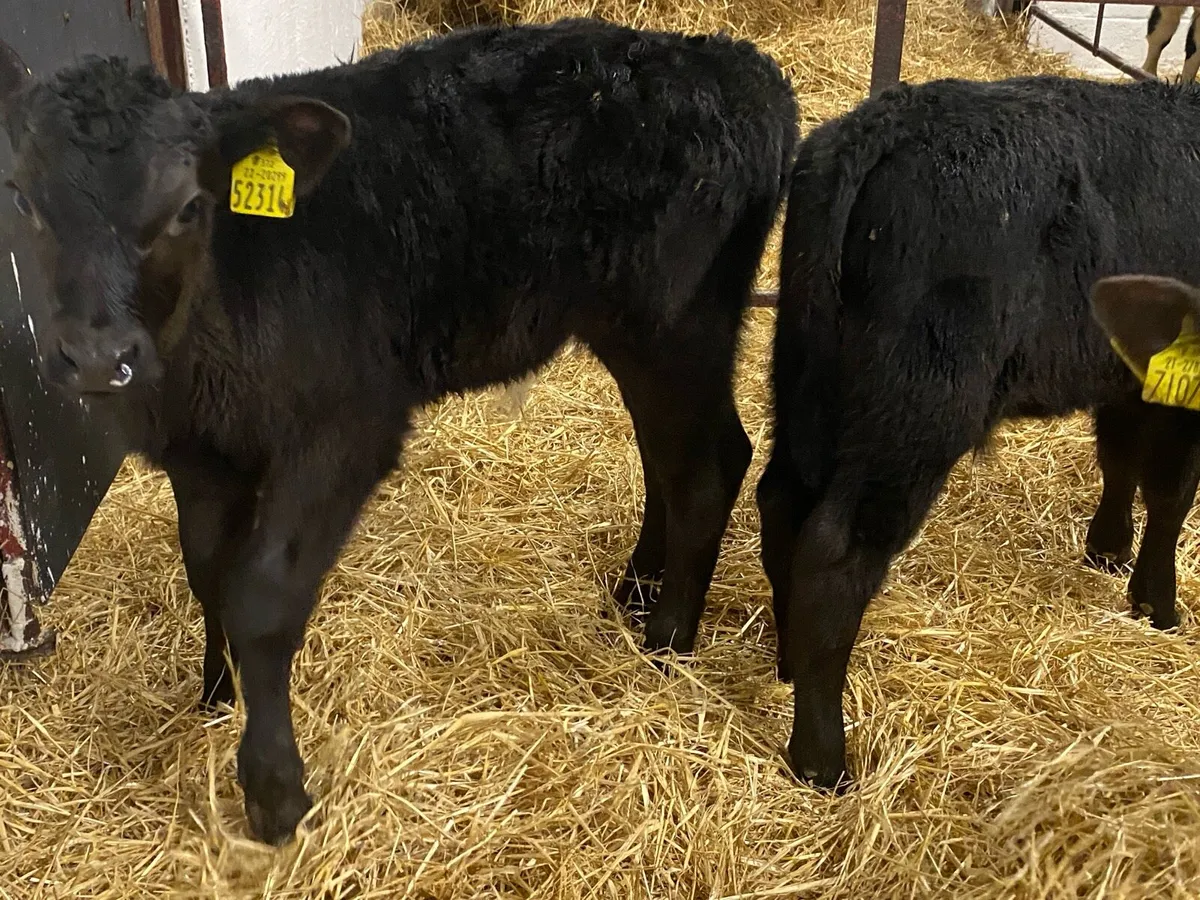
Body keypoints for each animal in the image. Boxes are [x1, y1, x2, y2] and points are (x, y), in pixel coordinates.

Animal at [0, 19, 798, 843]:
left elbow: (263, 597)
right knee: (662, 455)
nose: (98, 356)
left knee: (709, 465)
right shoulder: (199, 456)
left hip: (678, 325)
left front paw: (274, 791)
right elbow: (208, 573)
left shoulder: (344, 431)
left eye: (189, 205)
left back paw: (666, 644)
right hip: (629, 331)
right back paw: (636, 588)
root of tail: (734, 62)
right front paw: (217, 695)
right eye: (21, 196)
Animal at [756, 75, 1200, 791]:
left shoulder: (1129, 377)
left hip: (806, 375)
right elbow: (1171, 493)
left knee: (782, 505)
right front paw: (1158, 604)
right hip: (917, 405)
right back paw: (823, 757)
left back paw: (790, 663)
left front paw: (1107, 550)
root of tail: (891, 120)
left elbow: (1120, 459)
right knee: (835, 551)